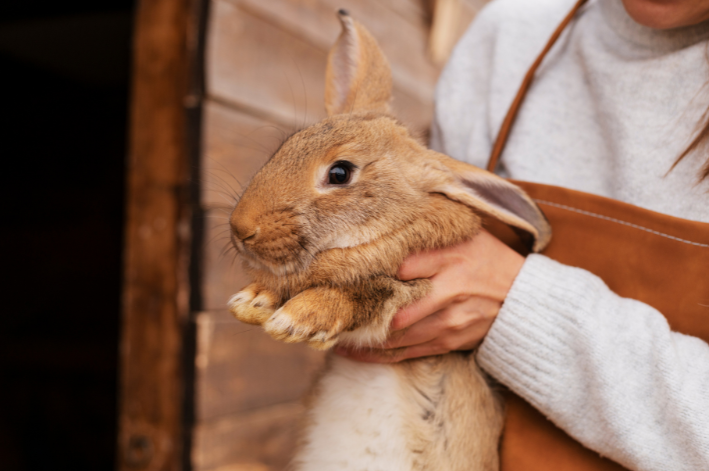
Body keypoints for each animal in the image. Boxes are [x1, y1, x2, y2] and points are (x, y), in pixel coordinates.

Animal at [230, 11, 552, 471]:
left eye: (340, 173)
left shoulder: (412, 292)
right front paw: (254, 300)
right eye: (285, 147)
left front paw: (301, 318)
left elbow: (366, 293)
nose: (241, 228)